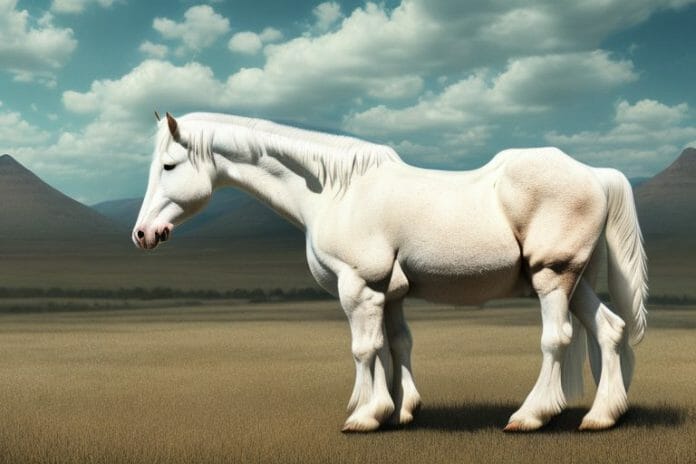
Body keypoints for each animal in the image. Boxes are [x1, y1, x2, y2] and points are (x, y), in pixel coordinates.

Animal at [132, 111, 647, 433]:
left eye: (170, 165)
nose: (142, 234)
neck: (336, 191)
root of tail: (596, 174)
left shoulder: (358, 287)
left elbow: (364, 349)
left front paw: (364, 415)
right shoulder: (389, 292)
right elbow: (394, 345)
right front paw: (400, 411)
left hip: (552, 279)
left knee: (556, 339)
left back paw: (531, 416)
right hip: (575, 282)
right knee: (609, 329)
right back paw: (602, 416)